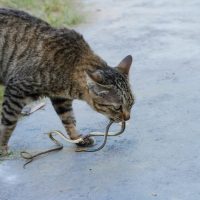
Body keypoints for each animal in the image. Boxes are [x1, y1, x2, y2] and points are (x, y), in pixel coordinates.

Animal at [0, 8, 134, 155]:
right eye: (117, 107)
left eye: (132, 104)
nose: (128, 118)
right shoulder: (16, 90)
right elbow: (8, 122)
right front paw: (2, 146)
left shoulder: (61, 99)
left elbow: (68, 119)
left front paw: (78, 138)